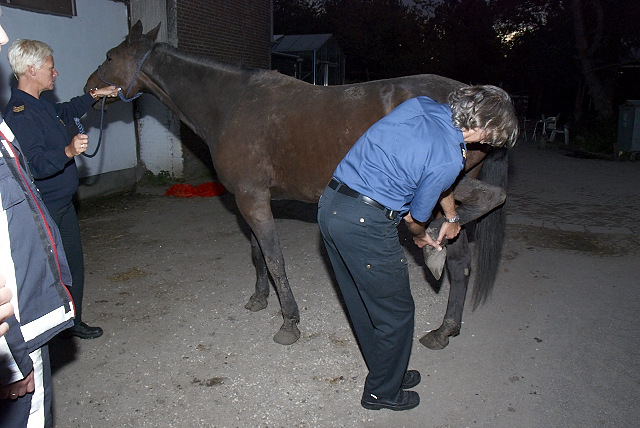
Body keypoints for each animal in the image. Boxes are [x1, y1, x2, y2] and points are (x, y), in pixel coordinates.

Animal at [86, 21, 510, 346]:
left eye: (109, 56)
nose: (89, 85)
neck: (231, 104)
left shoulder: (252, 198)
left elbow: (274, 258)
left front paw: (288, 321)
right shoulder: (249, 199)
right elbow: (257, 253)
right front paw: (259, 299)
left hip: (442, 188)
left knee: (488, 204)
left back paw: (431, 243)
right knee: (460, 260)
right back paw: (443, 327)